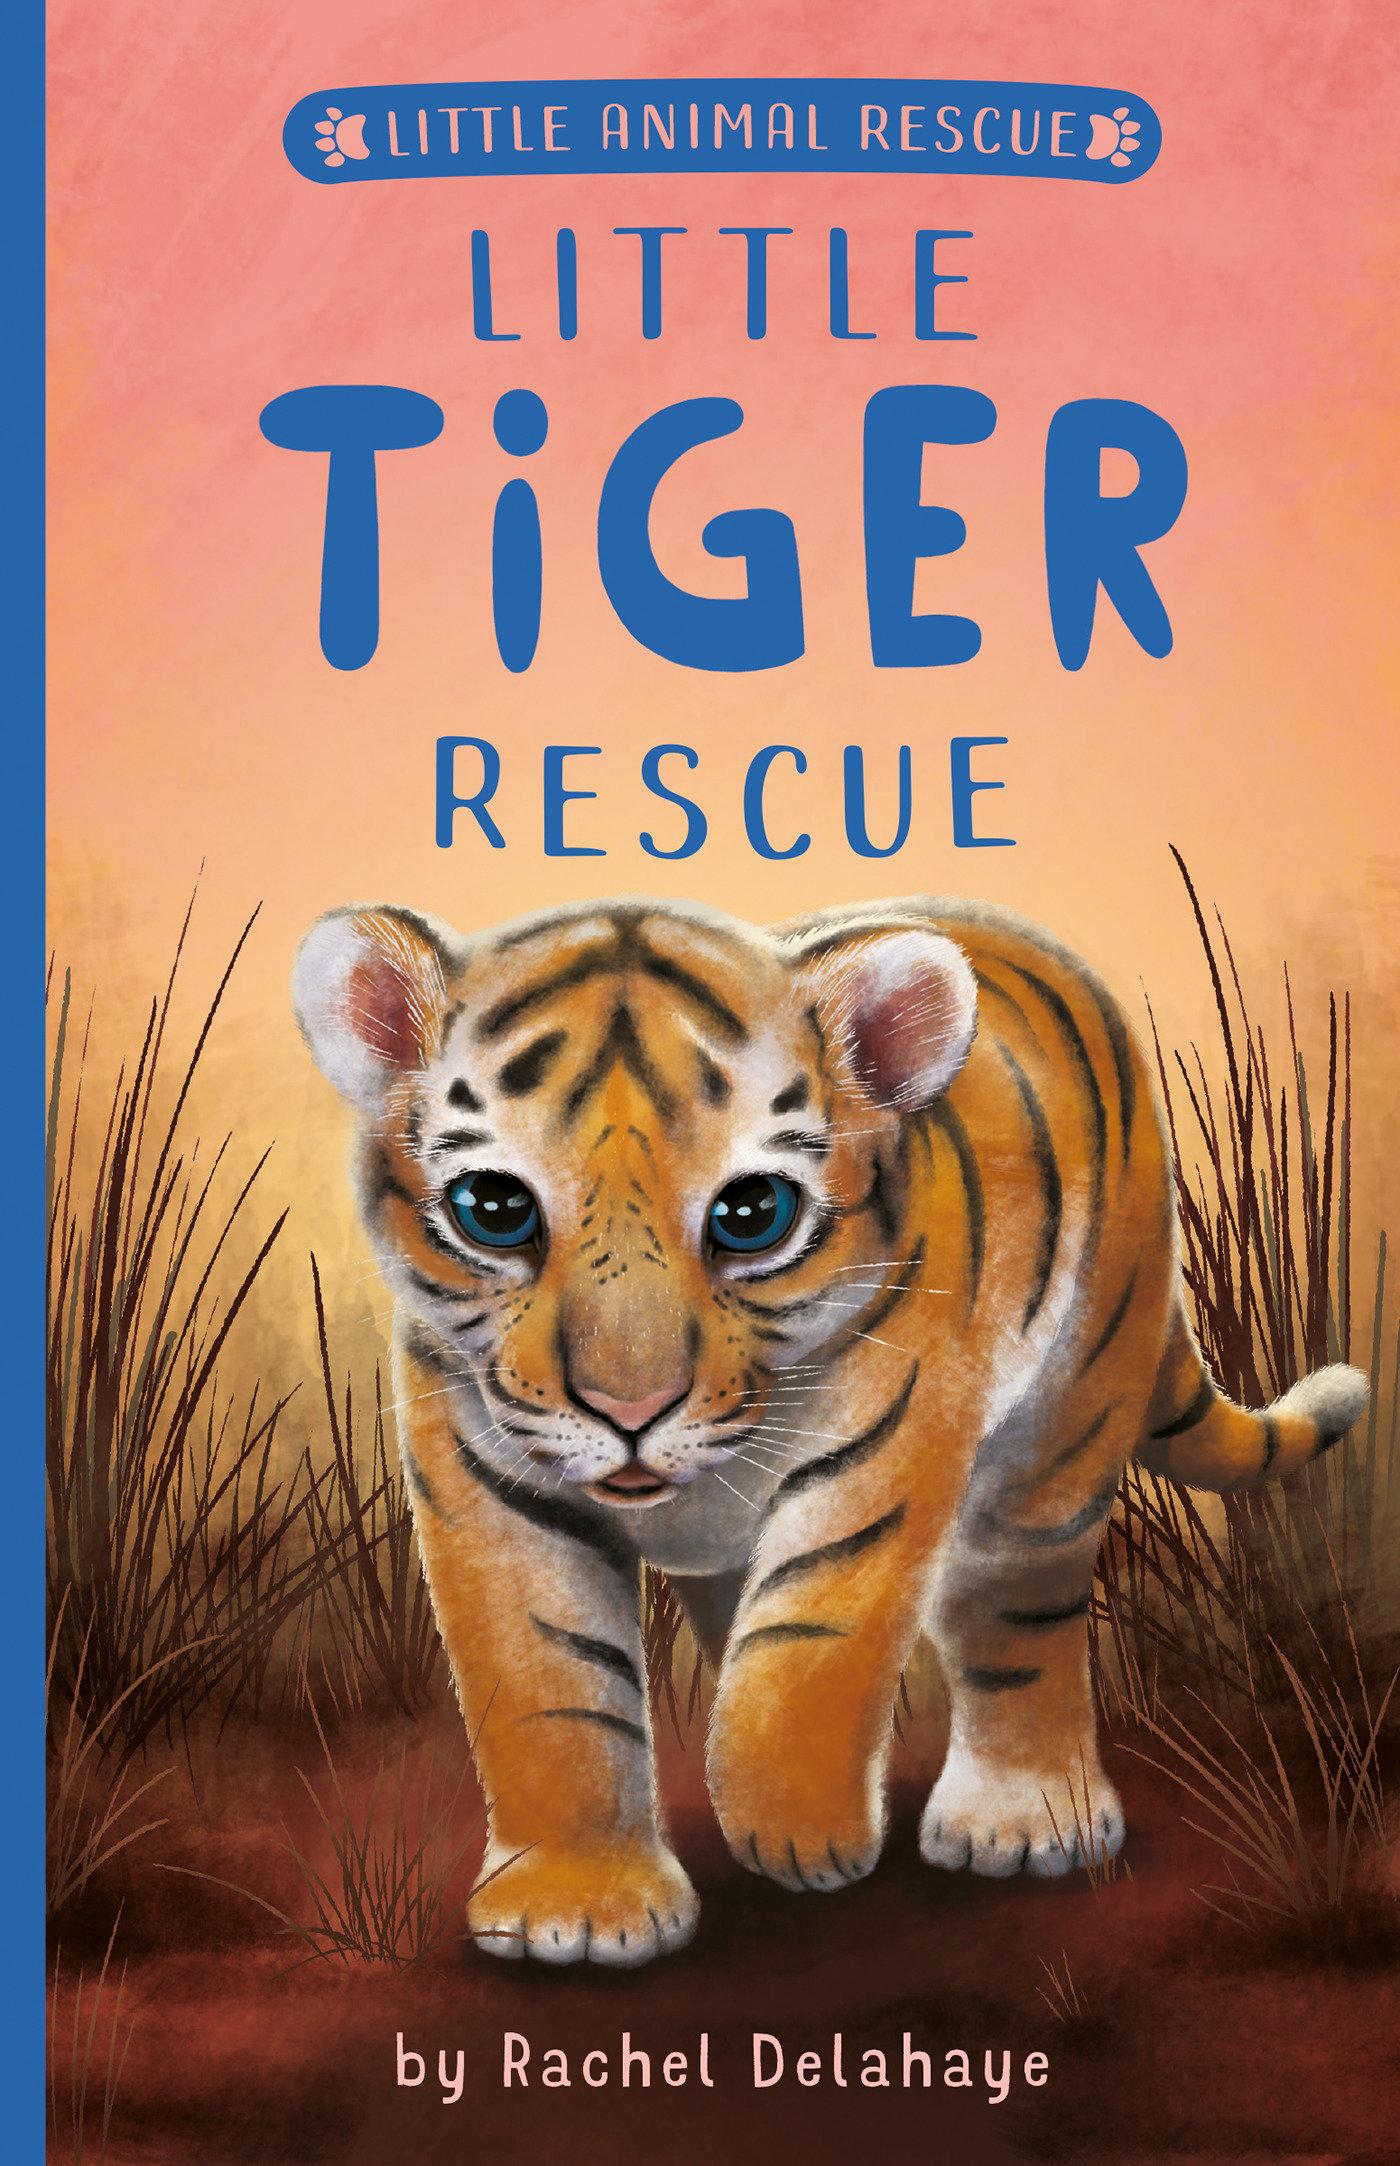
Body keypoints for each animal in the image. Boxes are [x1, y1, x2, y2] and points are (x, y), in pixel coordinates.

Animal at [292, 893, 1368, 1967]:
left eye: (751, 1212)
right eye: (494, 1208)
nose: (629, 1411)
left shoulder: (879, 1445)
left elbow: (809, 1643)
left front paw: (797, 1827)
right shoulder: (491, 1482)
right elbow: (547, 1688)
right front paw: (579, 1903)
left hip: (1066, 1420)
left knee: (1016, 1616)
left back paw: (1022, 1819)